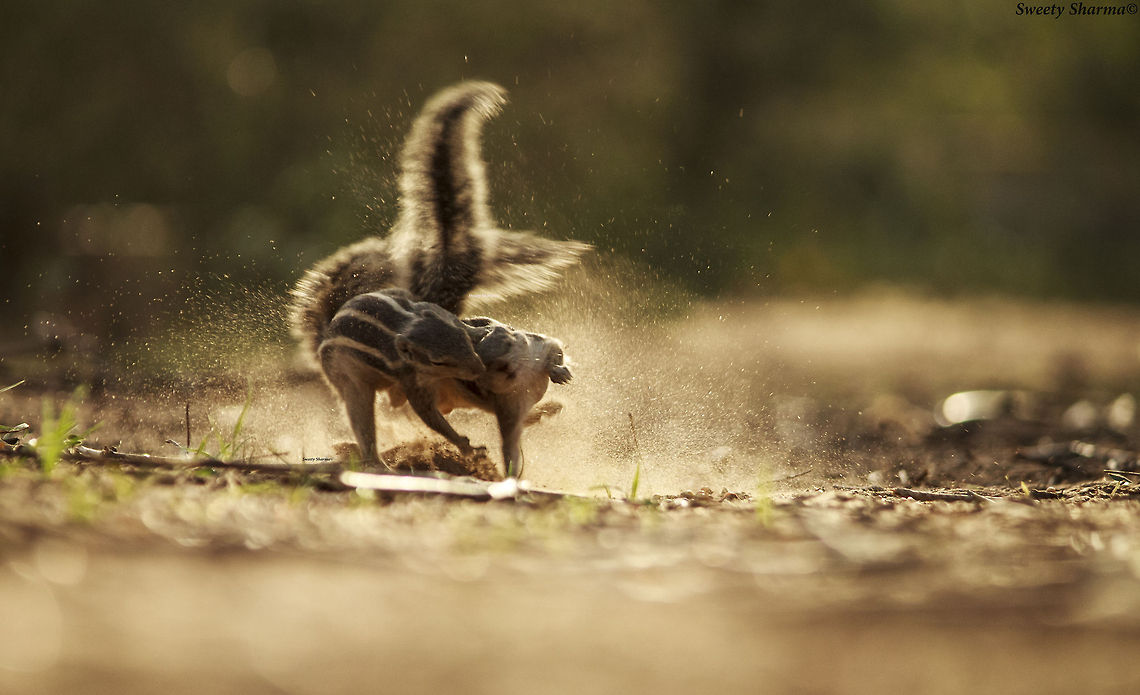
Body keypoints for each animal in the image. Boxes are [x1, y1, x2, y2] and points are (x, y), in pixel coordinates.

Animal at [320, 288, 572, 476]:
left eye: (463, 338)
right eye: (437, 361)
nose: (479, 369)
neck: (406, 324)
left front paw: (559, 371)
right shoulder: (413, 381)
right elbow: (429, 415)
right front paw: (466, 446)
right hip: (351, 383)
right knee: (363, 421)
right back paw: (378, 464)